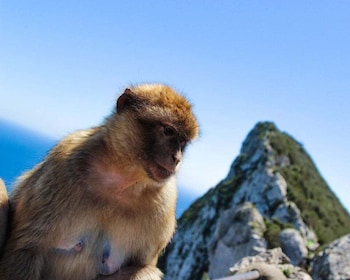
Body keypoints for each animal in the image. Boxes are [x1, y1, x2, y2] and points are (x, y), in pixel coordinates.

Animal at [0, 84, 198, 278]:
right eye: (168, 131)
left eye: (183, 142)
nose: (177, 158)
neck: (122, 179)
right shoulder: (61, 167)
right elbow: (27, 249)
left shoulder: (165, 202)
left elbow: (142, 266)